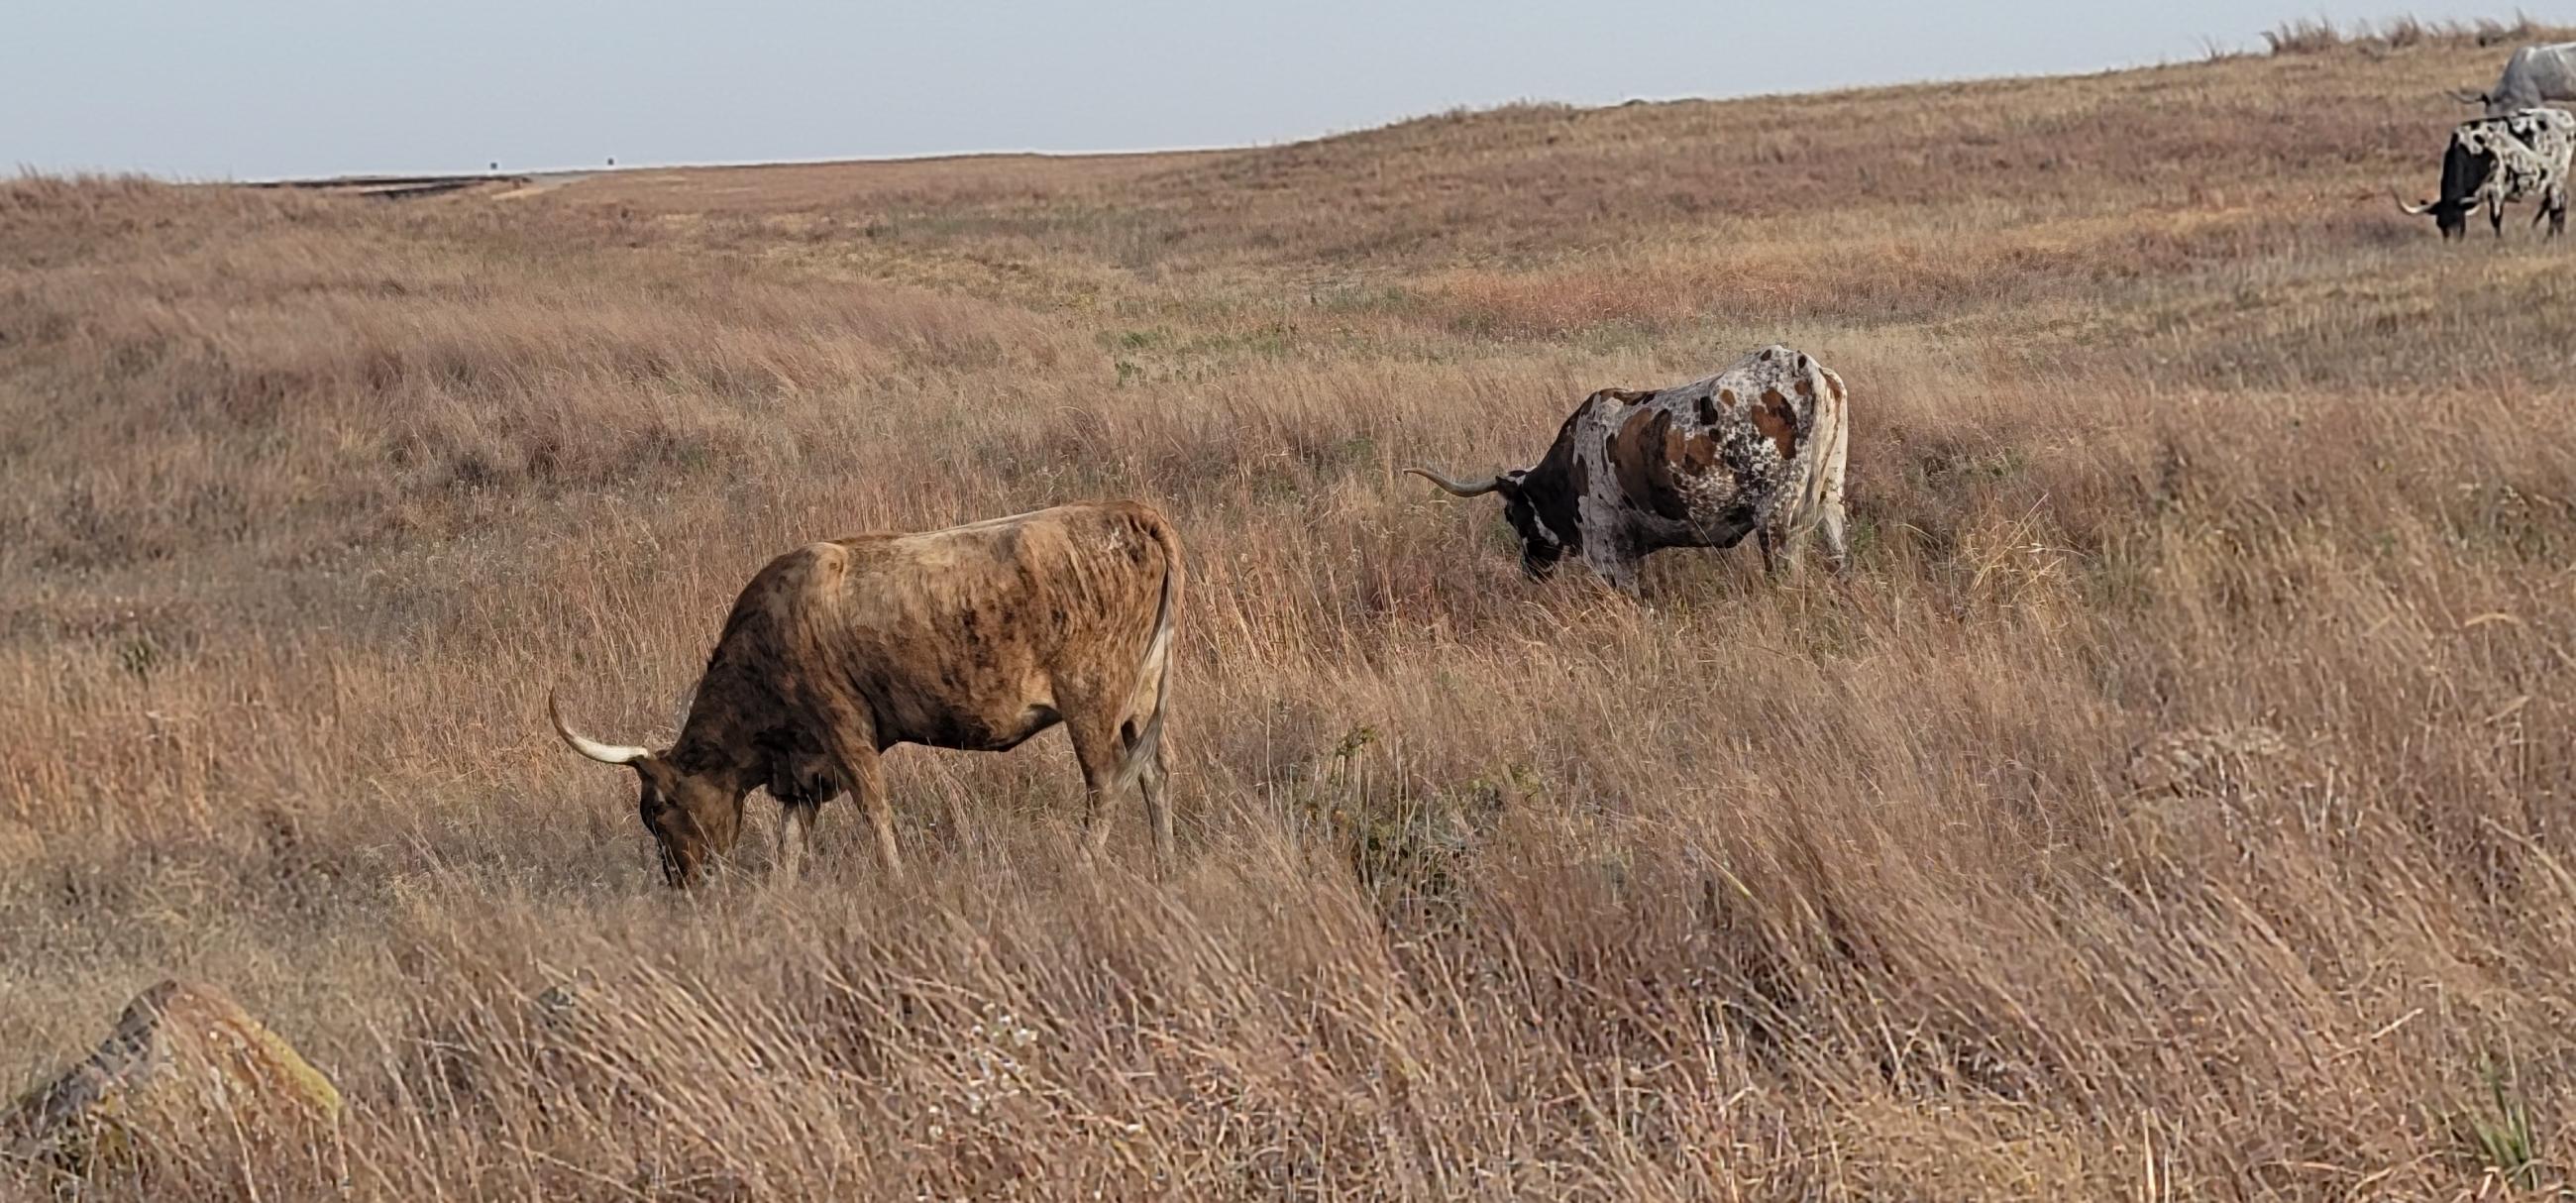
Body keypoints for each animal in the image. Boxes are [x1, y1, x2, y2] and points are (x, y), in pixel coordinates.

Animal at [554, 499, 1185, 886]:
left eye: (658, 810)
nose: (686, 884)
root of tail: (1128, 511)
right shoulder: (803, 770)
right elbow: (791, 842)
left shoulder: (846, 731)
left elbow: (875, 812)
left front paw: (896, 881)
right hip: (1142, 699)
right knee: (1154, 776)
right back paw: (1164, 864)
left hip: (1092, 700)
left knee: (1105, 782)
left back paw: (1084, 866)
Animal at [1411, 345, 1854, 595]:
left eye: (1509, 514)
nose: (1531, 570)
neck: (1570, 464)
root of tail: (1802, 365)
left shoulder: (1608, 552)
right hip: (1830, 497)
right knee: (1840, 556)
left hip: (1778, 518)